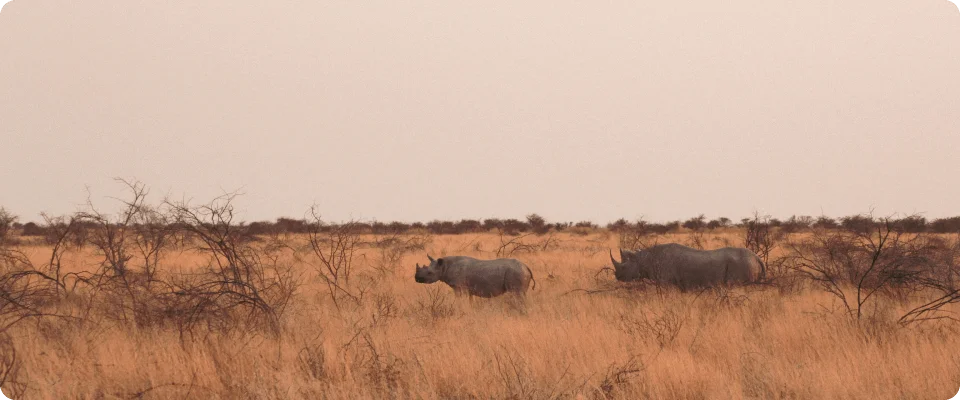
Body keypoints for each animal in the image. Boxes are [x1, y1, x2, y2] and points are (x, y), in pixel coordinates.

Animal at [609, 243, 764, 288]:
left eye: (624, 267)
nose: (617, 276)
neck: (642, 259)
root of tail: (756, 257)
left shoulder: (665, 281)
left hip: (743, 263)